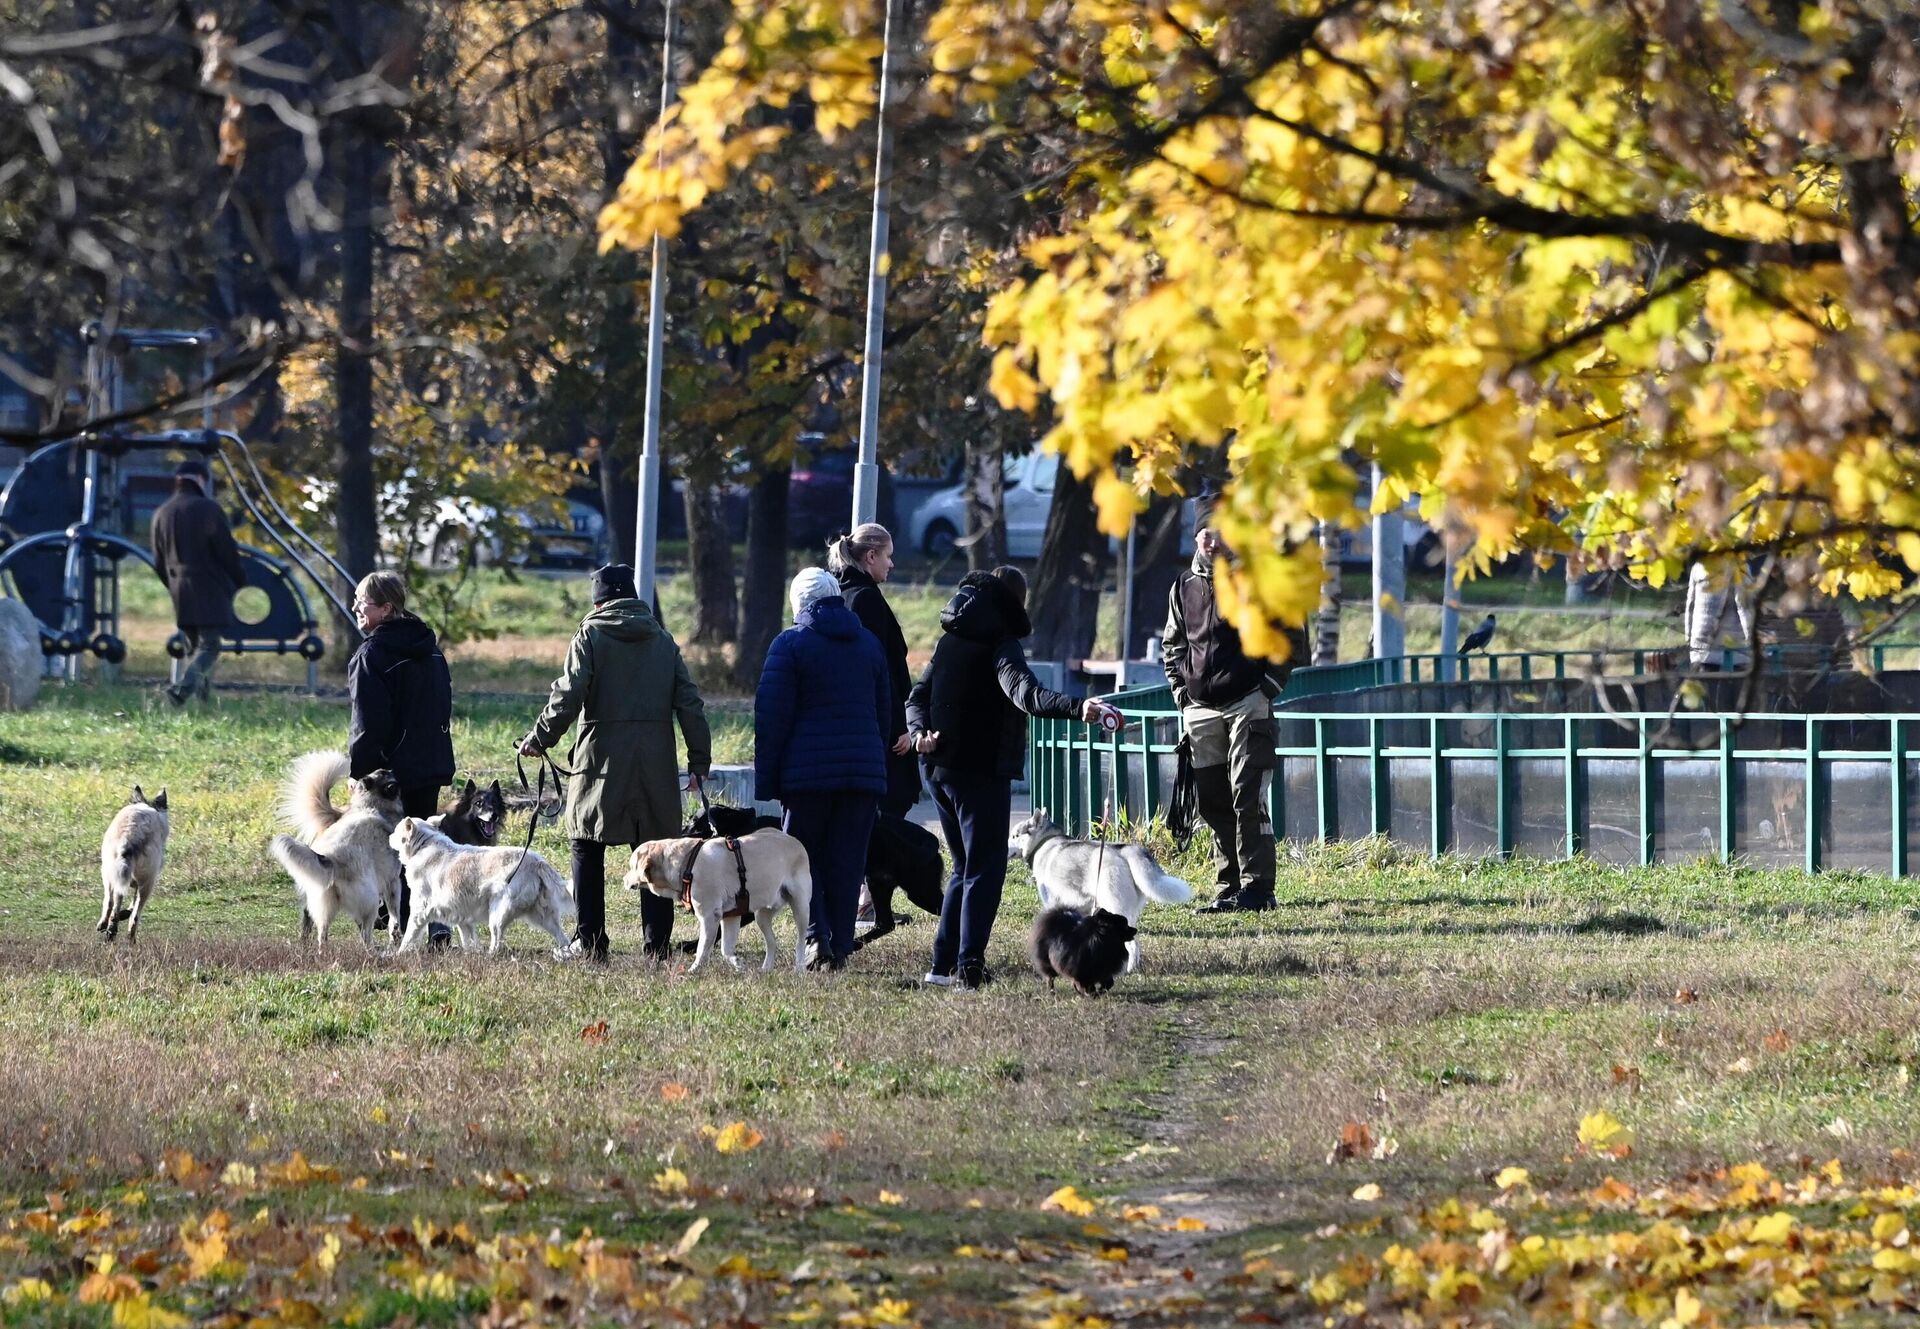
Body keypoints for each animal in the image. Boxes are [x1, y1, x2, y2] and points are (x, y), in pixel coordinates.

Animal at [97, 787, 168, 944]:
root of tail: (130, 838)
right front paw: (125, 913)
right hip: (147, 883)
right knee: (134, 915)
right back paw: (129, 938)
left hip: (111, 873)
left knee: (113, 904)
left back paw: (110, 930)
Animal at [270, 752, 405, 948]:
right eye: (387, 775)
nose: (391, 768)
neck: (370, 803)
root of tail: (331, 859)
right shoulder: (393, 881)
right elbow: (395, 916)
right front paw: (395, 936)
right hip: (370, 900)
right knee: (366, 933)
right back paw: (372, 950)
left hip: (322, 904)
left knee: (322, 934)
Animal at [385, 821, 572, 956]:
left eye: (396, 831)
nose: (388, 836)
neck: (424, 846)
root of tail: (537, 862)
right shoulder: (462, 917)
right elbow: (468, 940)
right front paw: (471, 955)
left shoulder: (419, 911)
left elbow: (408, 936)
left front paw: (399, 954)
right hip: (543, 916)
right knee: (563, 938)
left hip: (497, 915)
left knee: (497, 942)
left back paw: (490, 957)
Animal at [625, 829, 814, 975]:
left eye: (631, 866)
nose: (623, 879)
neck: (687, 865)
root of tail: (796, 841)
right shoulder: (731, 916)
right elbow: (725, 950)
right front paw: (738, 964)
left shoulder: (709, 916)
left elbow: (702, 950)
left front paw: (693, 971)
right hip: (762, 915)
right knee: (772, 942)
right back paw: (766, 969)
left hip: (801, 907)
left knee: (800, 942)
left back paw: (799, 970)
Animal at [1013, 802, 1190, 971]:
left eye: (1014, 835)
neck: (1044, 843)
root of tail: (1125, 849)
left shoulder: (1052, 904)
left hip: (1115, 907)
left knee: (1132, 945)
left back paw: (1128, 971)